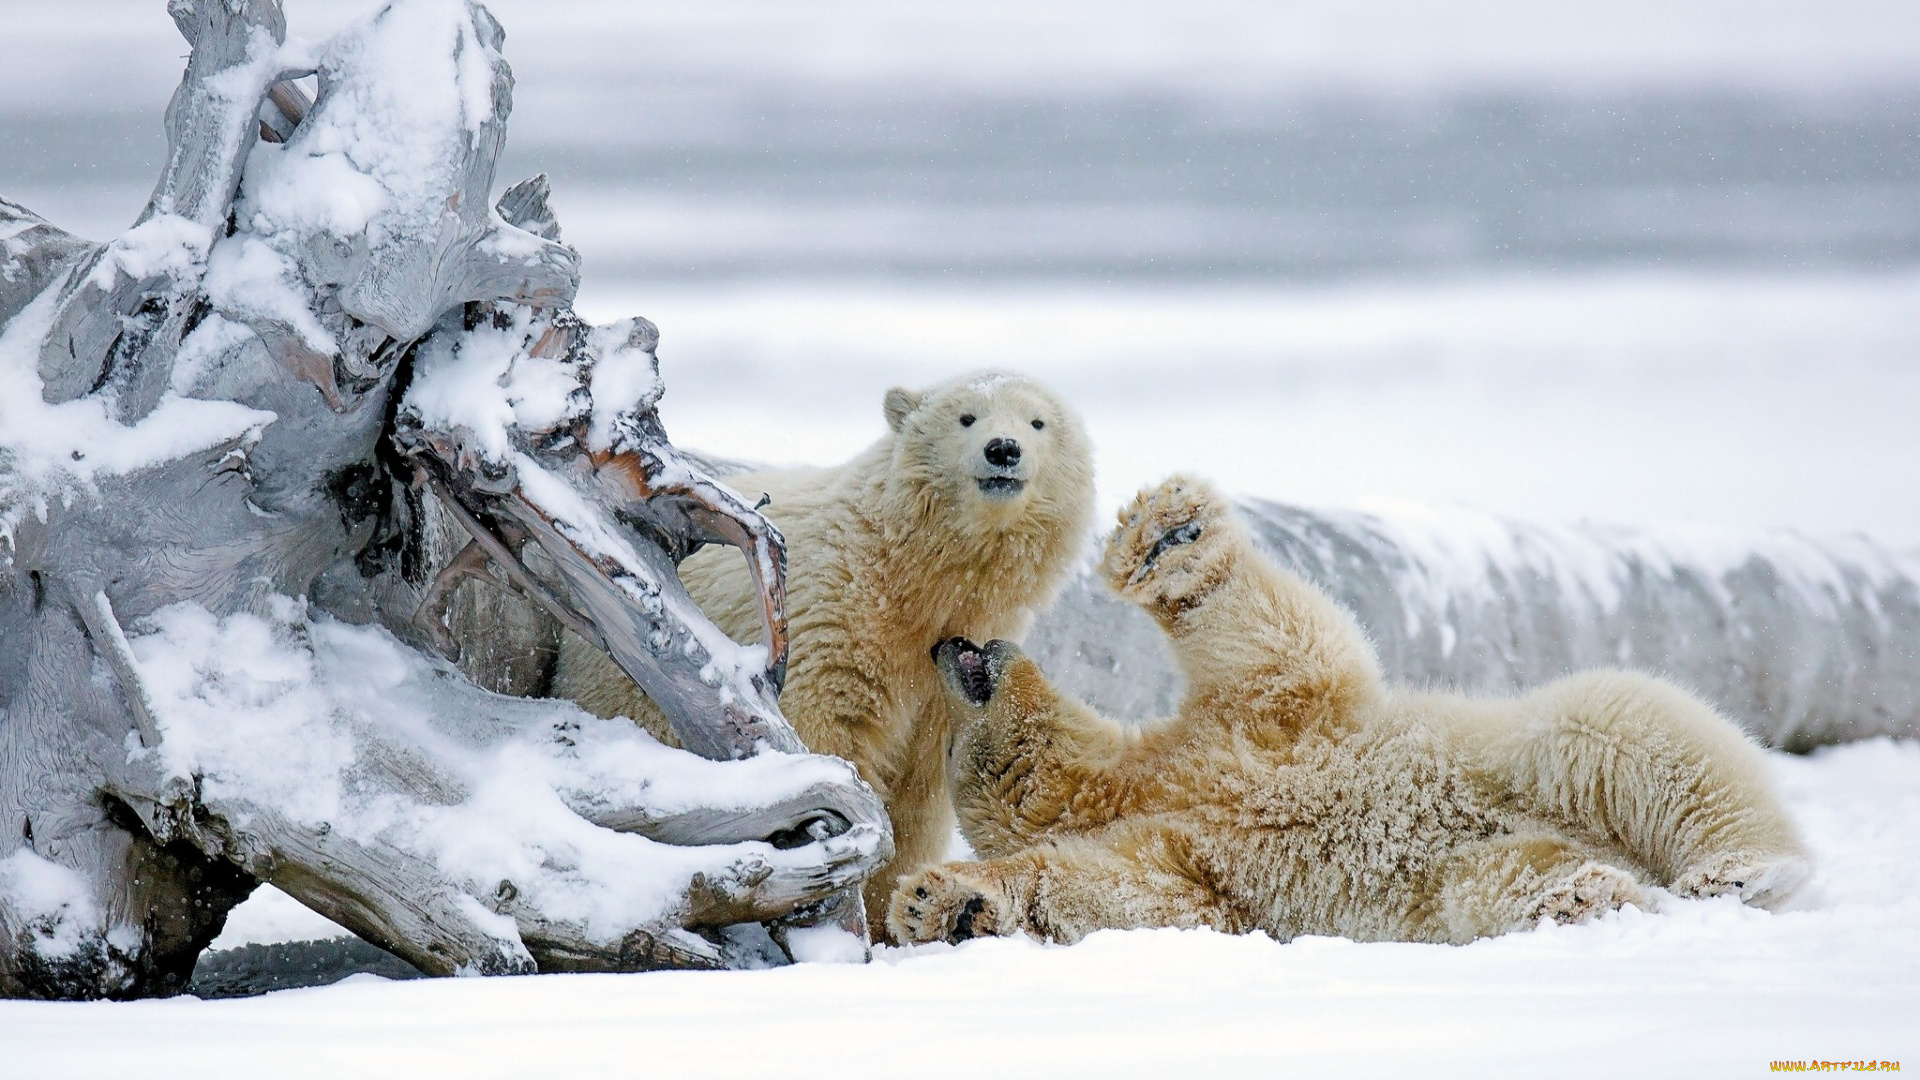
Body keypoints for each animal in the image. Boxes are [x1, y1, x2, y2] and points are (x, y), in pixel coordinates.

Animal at [556, 368, 1098, 914]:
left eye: (1038, 422)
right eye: (966, 417)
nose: (1003, 449)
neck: (908, 575)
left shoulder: (945, 678)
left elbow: (920, 792)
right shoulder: (832, 613)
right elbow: (828, 732)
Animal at [890, 474, 1804, 937]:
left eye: (946, 738)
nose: (948, 644)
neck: (1126, 784)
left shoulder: (1249, 728)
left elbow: (1282, 648)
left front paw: (1167, 537)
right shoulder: (1179, 850)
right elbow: (1151, 900)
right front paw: (948, 902)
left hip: (1526, 756)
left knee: (1621, 726)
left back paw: (1739, 868)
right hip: (1449, 885)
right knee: (1494, 882)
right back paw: (1585, 897)